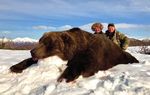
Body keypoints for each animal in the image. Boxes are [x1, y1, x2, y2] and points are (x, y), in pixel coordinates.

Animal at [9, 27, 139, 82]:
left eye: (47, 42)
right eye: (40, 40)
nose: (32, 51)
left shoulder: (93, 53)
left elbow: (86, 65)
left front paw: (64, 77)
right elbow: (29, 60)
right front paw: (15, 67)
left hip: (122, 56)